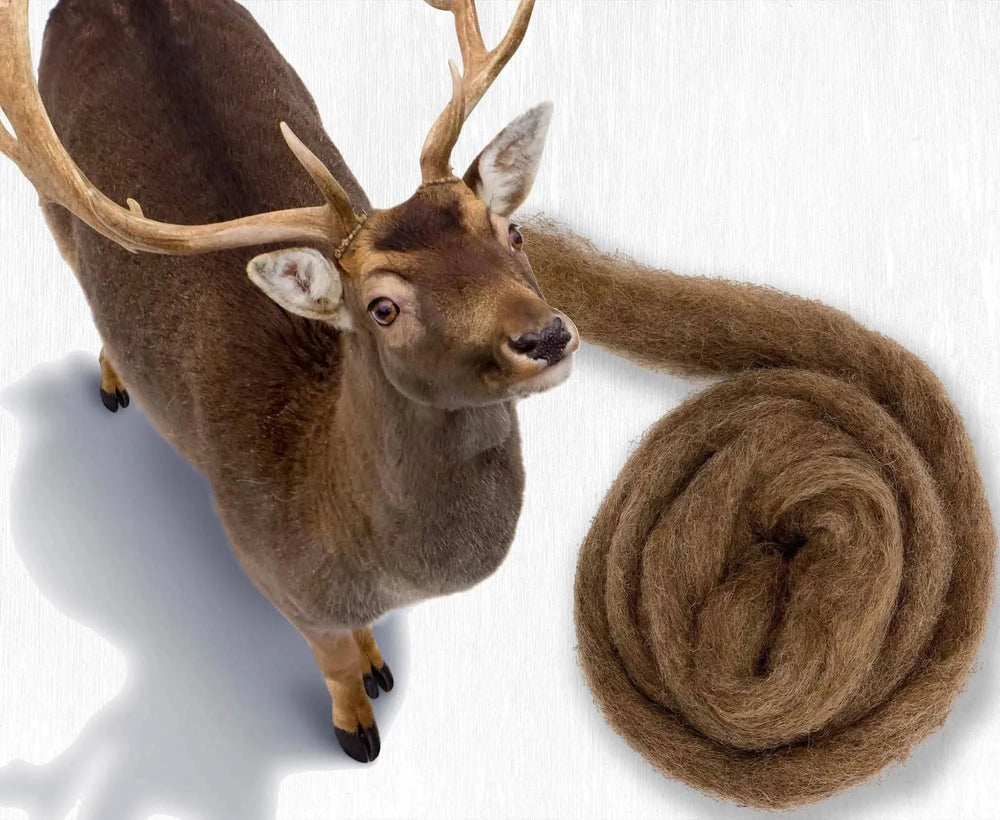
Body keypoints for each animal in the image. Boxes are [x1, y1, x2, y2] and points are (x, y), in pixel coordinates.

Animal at [0, 0, 578, 763]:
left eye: (511, 233)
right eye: (383, 307)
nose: (546, 337)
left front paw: (377, 661)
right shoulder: (269, 572)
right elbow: (330, 662)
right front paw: (356, 724)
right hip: (55, 213)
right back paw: (112, 382)